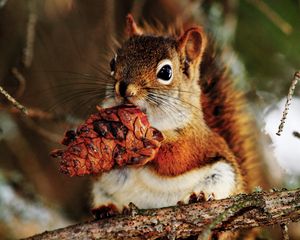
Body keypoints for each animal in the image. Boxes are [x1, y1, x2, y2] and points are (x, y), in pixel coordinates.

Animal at [91, 15, 264, 238]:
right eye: (113, 62)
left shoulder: (194, 140)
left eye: (166, 72)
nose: (123, 88)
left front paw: (154, 148)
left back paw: (199, 197)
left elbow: (178, 157)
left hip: (224, 177)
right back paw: (107, 209)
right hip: (103, 189)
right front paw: (104, 131)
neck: (154, 122)